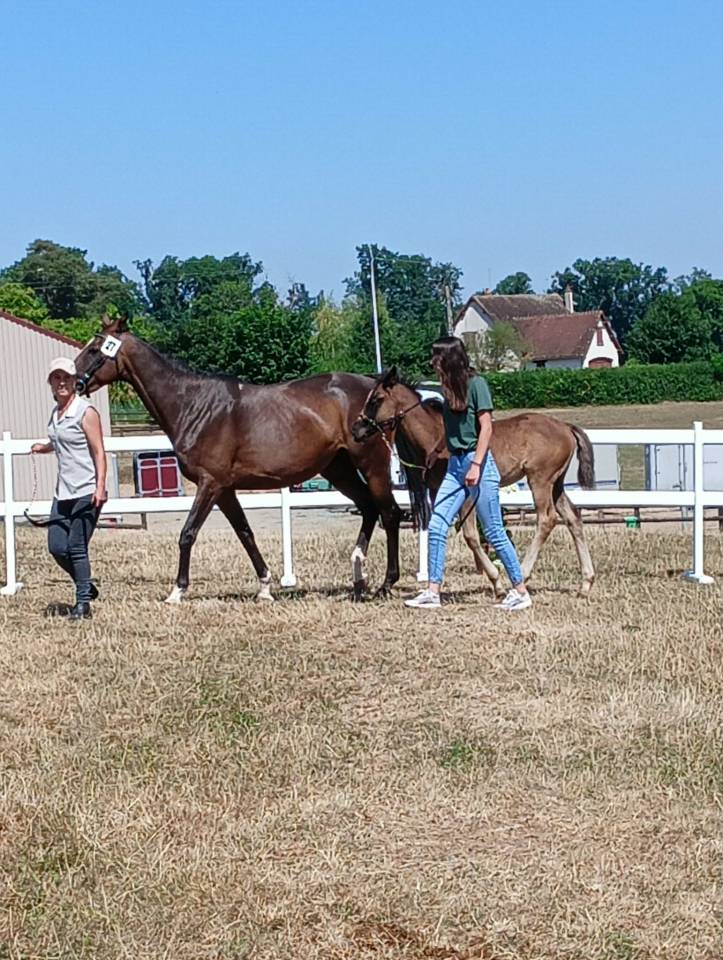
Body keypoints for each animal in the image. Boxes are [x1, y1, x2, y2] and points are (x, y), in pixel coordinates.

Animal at [73, 316, 413, 602]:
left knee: (390, 513)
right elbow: (245, 533)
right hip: (338, 469)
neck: (194, 406)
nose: (73, 381)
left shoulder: (209, 484)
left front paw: (177, 591)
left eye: (95, 349)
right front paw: (264, 587)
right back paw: (359, 577)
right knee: (368, 508)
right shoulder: (224, 489)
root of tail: (376, 390)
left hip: (372, 465)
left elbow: (187, 534)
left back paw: (385, 583)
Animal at [351, 367, 596, 596]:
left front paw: (496, 582)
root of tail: (565, 427)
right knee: (573, 517)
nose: (356, 429)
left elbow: (470, 535)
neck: (436, 438)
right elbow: (441, 528)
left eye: (376, 399)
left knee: (547, 519)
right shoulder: (438, 492)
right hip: (557, 484)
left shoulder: (467, 494)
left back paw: (524, 575)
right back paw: (586, 583)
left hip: (540, 480)